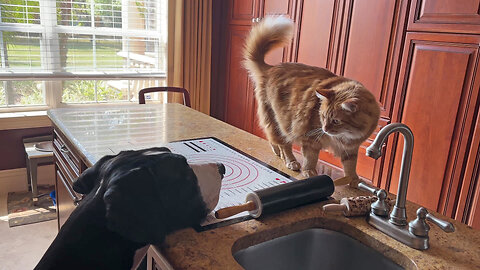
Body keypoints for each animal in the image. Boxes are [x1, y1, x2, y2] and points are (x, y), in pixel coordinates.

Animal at [246, 16, 380, 186]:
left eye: (336, 121)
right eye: (322, 117)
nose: (325, 129)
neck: (345, 135)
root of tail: (271, 68)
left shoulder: (351, 148)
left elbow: (350, 165)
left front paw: (354, 180)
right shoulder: (310, 138)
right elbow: (311, 158)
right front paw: (309, 171)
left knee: (274, 140)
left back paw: (279, 153)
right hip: (281, 121)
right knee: (284, 144)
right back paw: (291, 161)